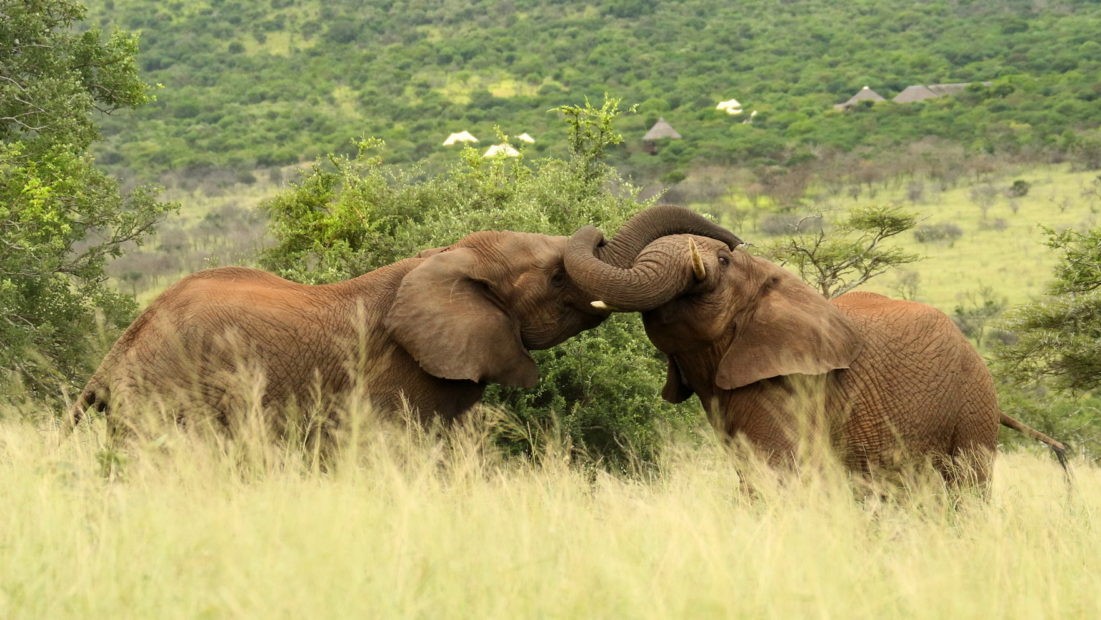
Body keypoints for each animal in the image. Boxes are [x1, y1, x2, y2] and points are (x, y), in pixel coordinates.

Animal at [69, 206, 743, 440]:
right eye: (555, 277)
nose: (730, 247)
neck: (443, 257)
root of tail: (114, 355)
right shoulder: (392, 372)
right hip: (169, 397)